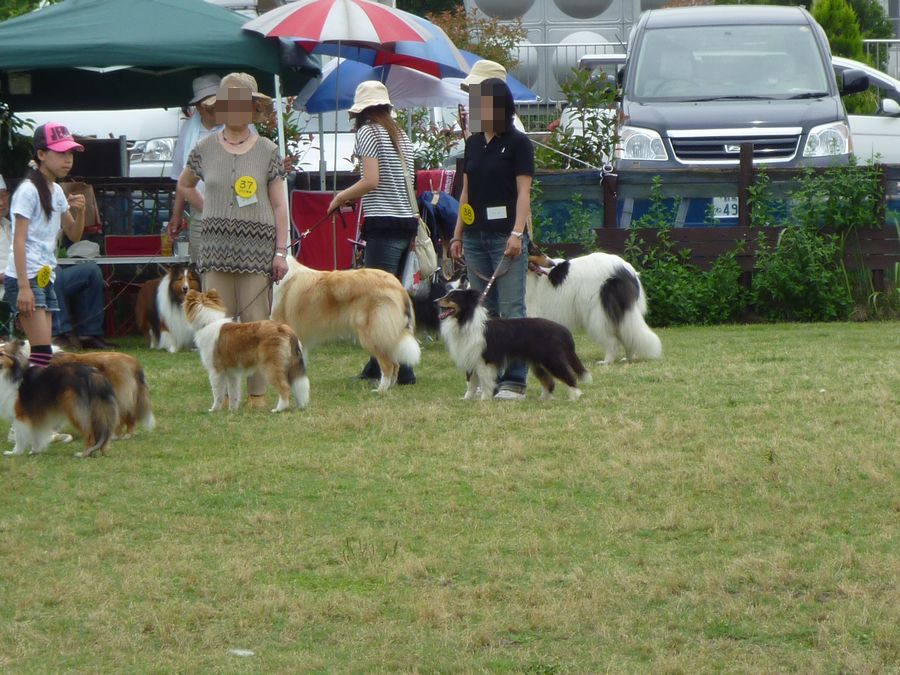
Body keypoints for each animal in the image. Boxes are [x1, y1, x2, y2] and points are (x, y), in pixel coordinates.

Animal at [270, 257, 420, 392]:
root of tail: (398, 285)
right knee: (396, 363)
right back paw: (390, 387)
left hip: (373, 335)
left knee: (388, 365)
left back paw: (380, 390)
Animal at [436, 288, 592, 401]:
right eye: (446, 294)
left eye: (452, 297)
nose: (435, 301)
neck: (465, 321)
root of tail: (563, 330)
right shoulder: (470, 358)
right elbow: (471, 383)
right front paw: (466, 399)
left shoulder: (485, 360)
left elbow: (485, 381)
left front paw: (484, 399)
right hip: (538, 363)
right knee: (549, 382)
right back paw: (543, 399)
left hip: (552, 359)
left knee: (568, 376)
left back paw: (574, 396)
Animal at [527, 252, 662, 365]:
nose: (551, 263)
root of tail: (627, 270)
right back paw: (628, 359)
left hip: (599, 314)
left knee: (612, 341)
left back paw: (606, 361)